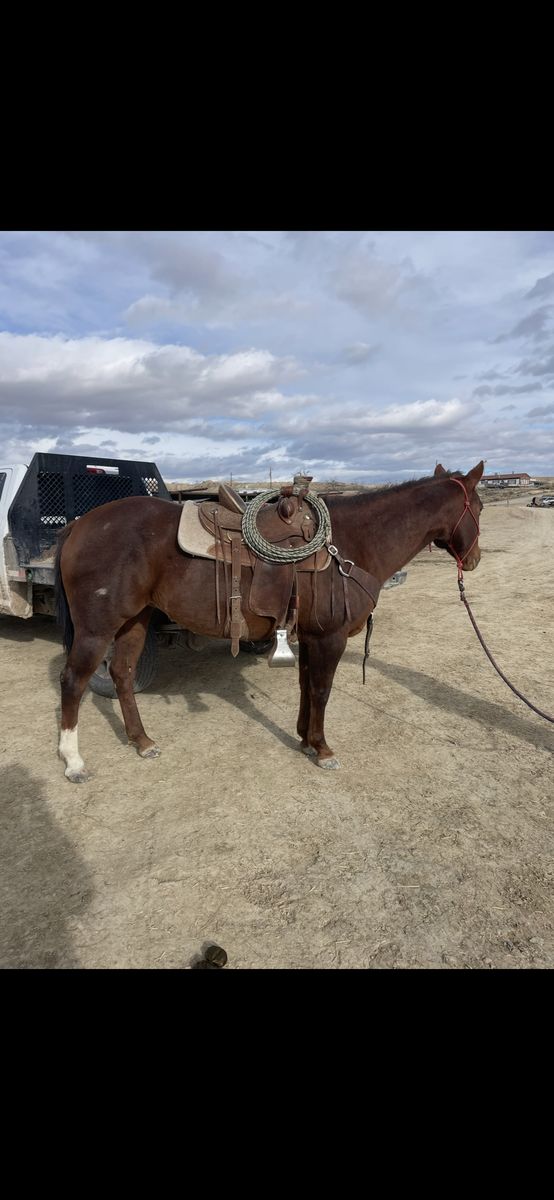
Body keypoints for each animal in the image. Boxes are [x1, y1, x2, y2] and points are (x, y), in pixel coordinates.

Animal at [54, 460, 484, 782]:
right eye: (477, 507)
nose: (474, 559)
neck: (350, 544)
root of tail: (80, 524)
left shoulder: (309, 637)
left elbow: (306, 686)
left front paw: (305, 740)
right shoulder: (330, 638)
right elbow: (321, 690)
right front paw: (323, 749)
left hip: (134, 622)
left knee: (123, 674)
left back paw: (142, 741)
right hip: (97, 629)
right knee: (73, 680)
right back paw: (73, 762)